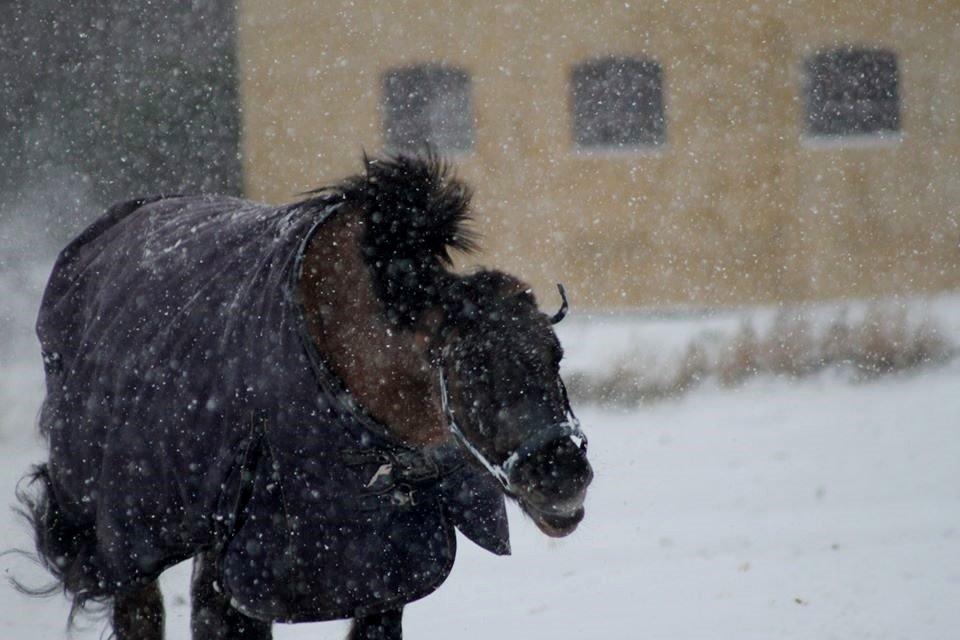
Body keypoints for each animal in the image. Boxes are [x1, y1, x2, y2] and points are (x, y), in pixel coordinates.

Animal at [18, 151, 592, 640]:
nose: (564, 475)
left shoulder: (385, 578)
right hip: (129, 546)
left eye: (554, 356)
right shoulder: (245, 577)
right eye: (471, 370)